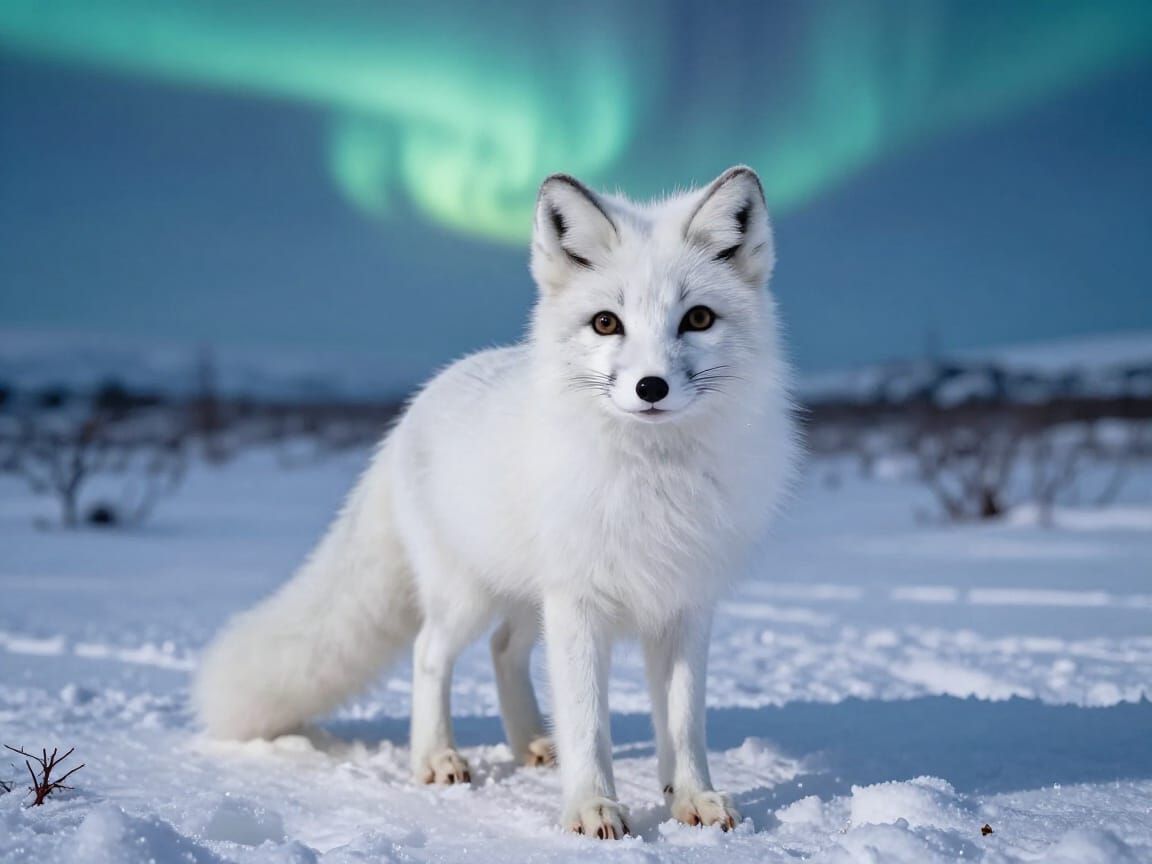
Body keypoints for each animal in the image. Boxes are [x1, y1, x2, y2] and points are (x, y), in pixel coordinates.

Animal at [195, 166, 796, 838]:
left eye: (697, 318)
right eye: (606, 323)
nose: (651, 387)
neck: (653, 482)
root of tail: (412, 410)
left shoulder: (684, 603)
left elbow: (685, 720)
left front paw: (694, 798)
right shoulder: (578, 602)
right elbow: (587, 722)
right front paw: (592, 807)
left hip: (526, 598)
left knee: (504, 650)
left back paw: (531, 741)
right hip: (467, 596)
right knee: (430, 654)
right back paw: (437, 757)